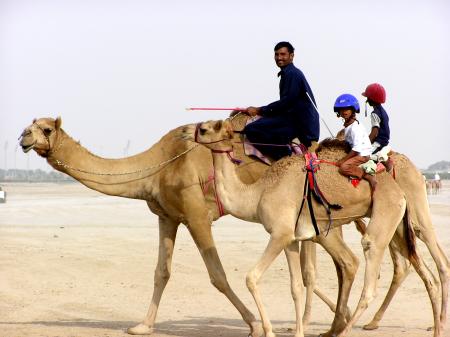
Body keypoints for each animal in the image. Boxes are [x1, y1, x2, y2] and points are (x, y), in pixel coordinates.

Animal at [184, 119, 412, 336]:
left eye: (204, 129)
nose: (185, 132)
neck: (257, 194)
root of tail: (400, 193)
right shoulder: (291, 239)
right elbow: (295, 287)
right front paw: (298, 332)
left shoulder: (280, 234)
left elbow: (251, 278)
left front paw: (269, 331)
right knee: (354, 264)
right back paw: (336, 327)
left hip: (386, 210)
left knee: (370, 270)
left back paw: (345, 330)